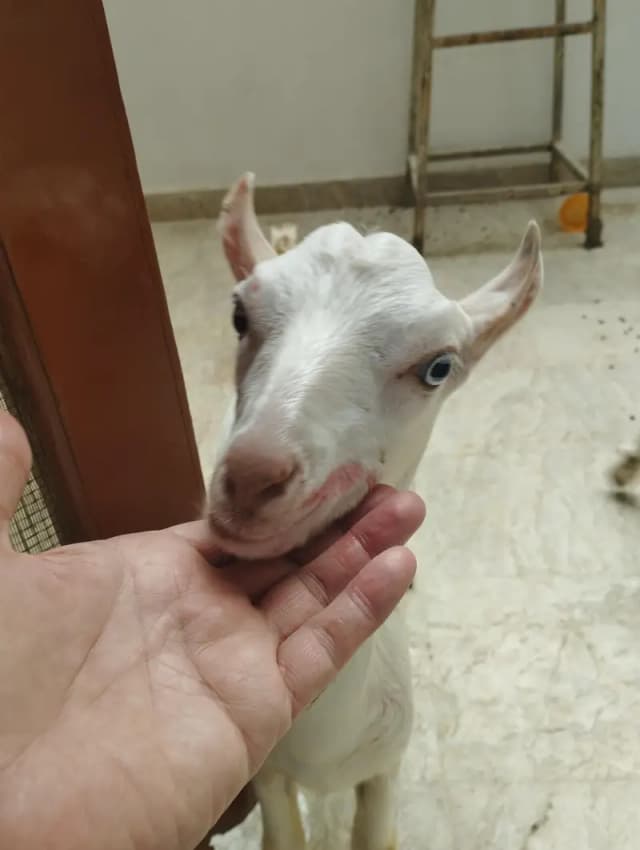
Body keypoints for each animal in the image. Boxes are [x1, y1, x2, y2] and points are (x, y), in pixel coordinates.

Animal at [206, 172, 543, 850]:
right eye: (239, 315)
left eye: (438, 367)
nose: (253, 476)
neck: (322, 746)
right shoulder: (269, 776)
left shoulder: (386, 768)